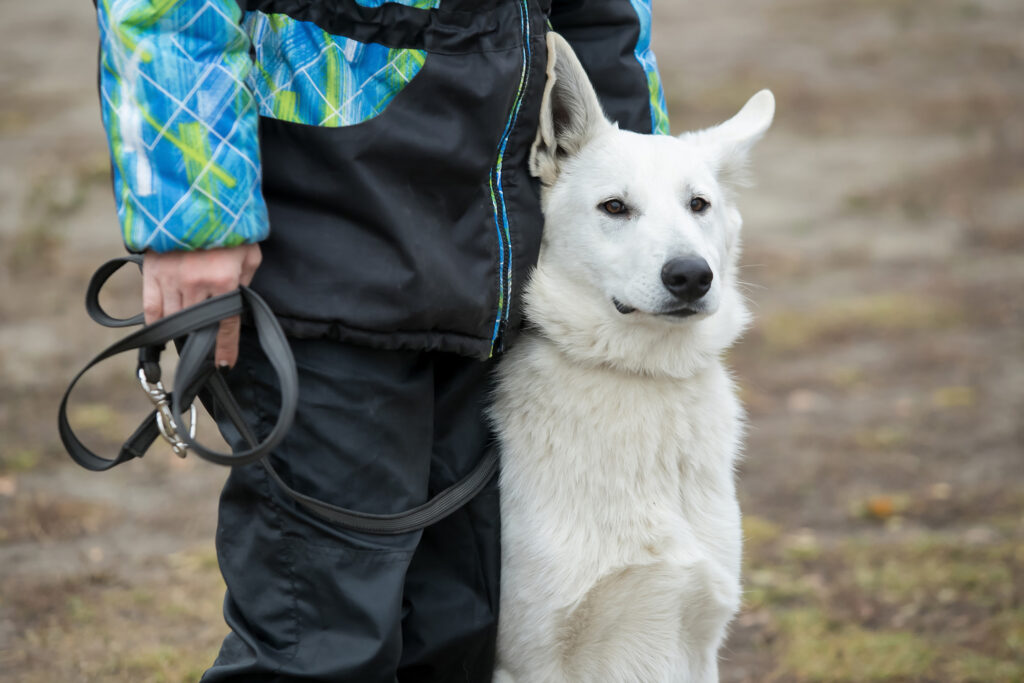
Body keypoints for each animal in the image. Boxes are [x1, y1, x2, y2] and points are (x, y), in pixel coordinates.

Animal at [491, 33, 770, 683]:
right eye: (614, 208)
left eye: (699, 205)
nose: (692, 275)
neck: (641, 375)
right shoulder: (533, 658)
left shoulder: (699, 641)